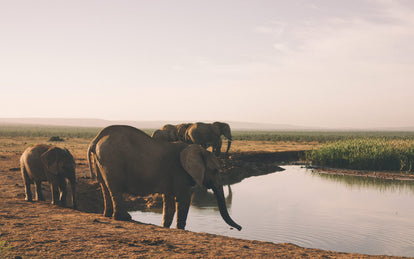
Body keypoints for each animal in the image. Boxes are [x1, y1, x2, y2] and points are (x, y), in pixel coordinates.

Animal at [88, 125, 243, 231]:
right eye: (215, 170)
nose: (240, 228)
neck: (194, 149)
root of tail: (96, 139)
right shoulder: (180, 172)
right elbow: (183, 200)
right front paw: (180, 229)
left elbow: (169, 202)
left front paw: (165, 227)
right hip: (112, 159)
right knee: (115, 187)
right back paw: (124, 218)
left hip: (102, 160)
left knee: (104, 186)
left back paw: (107, 215)